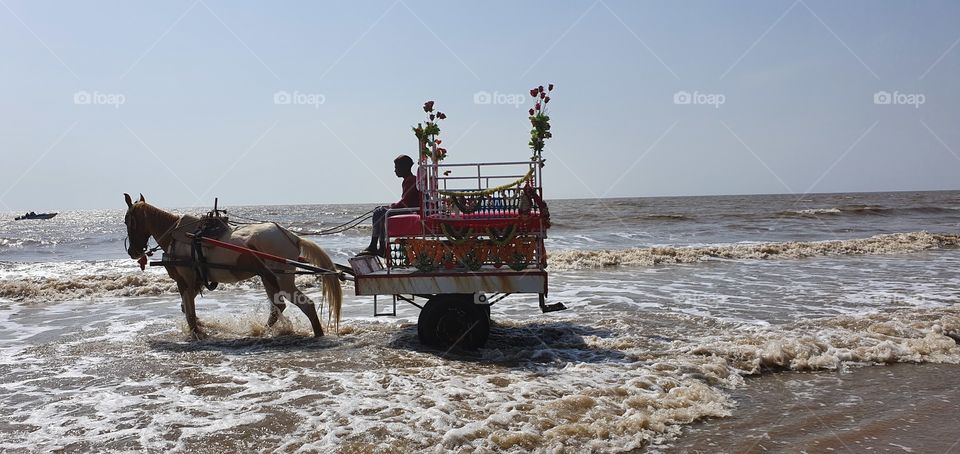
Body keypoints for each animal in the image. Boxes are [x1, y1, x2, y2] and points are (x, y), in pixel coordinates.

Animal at [122, 193, 344, 338]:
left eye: (126, 220)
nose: (133, 251)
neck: (177, 236)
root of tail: (291, 237)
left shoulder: (185, 281)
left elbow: (189, 312)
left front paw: (196, 333)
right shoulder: (193, 282)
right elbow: (187, 309)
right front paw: (202, 327)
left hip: (283, 279)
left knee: (306, 304)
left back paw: (317, 334)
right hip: (268, 277)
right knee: (277, 307)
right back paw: (263, 331)